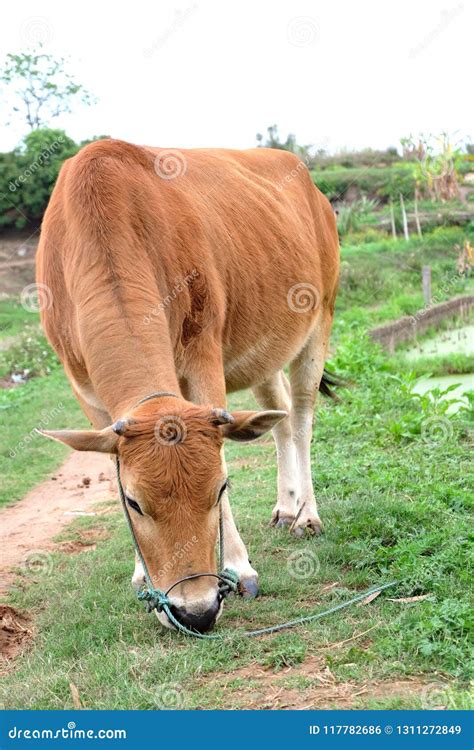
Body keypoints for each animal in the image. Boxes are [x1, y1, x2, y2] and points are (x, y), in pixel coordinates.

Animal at [38, 138, 340, 632]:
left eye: (221, 488)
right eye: (134, 502)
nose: (195, 610)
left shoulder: (203, 351)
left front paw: (239, 567)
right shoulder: (85, 389)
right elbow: (111, 466)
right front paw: (141, 573)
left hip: (320, 320)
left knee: (300, 420)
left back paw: (306, 516)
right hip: (264, 354)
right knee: (277, 417)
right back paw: (285, 507)